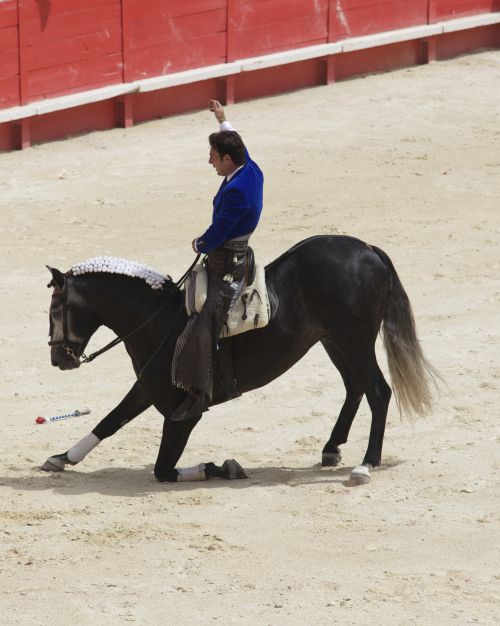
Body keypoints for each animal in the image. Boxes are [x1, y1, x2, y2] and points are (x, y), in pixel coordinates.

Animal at [42, 234, 438, 482]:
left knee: (378, 391)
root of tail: (366, 249)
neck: (159, 318)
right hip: (332, 341)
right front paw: (62, 458)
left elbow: (164, 469)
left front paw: (224, 467)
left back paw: (365, 464)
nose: (59, 359)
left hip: (354, 341)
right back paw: (331, 449)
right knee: (355, 386)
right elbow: (111, 420)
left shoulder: (183, 414)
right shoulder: (148, 388)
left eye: (56, 310)